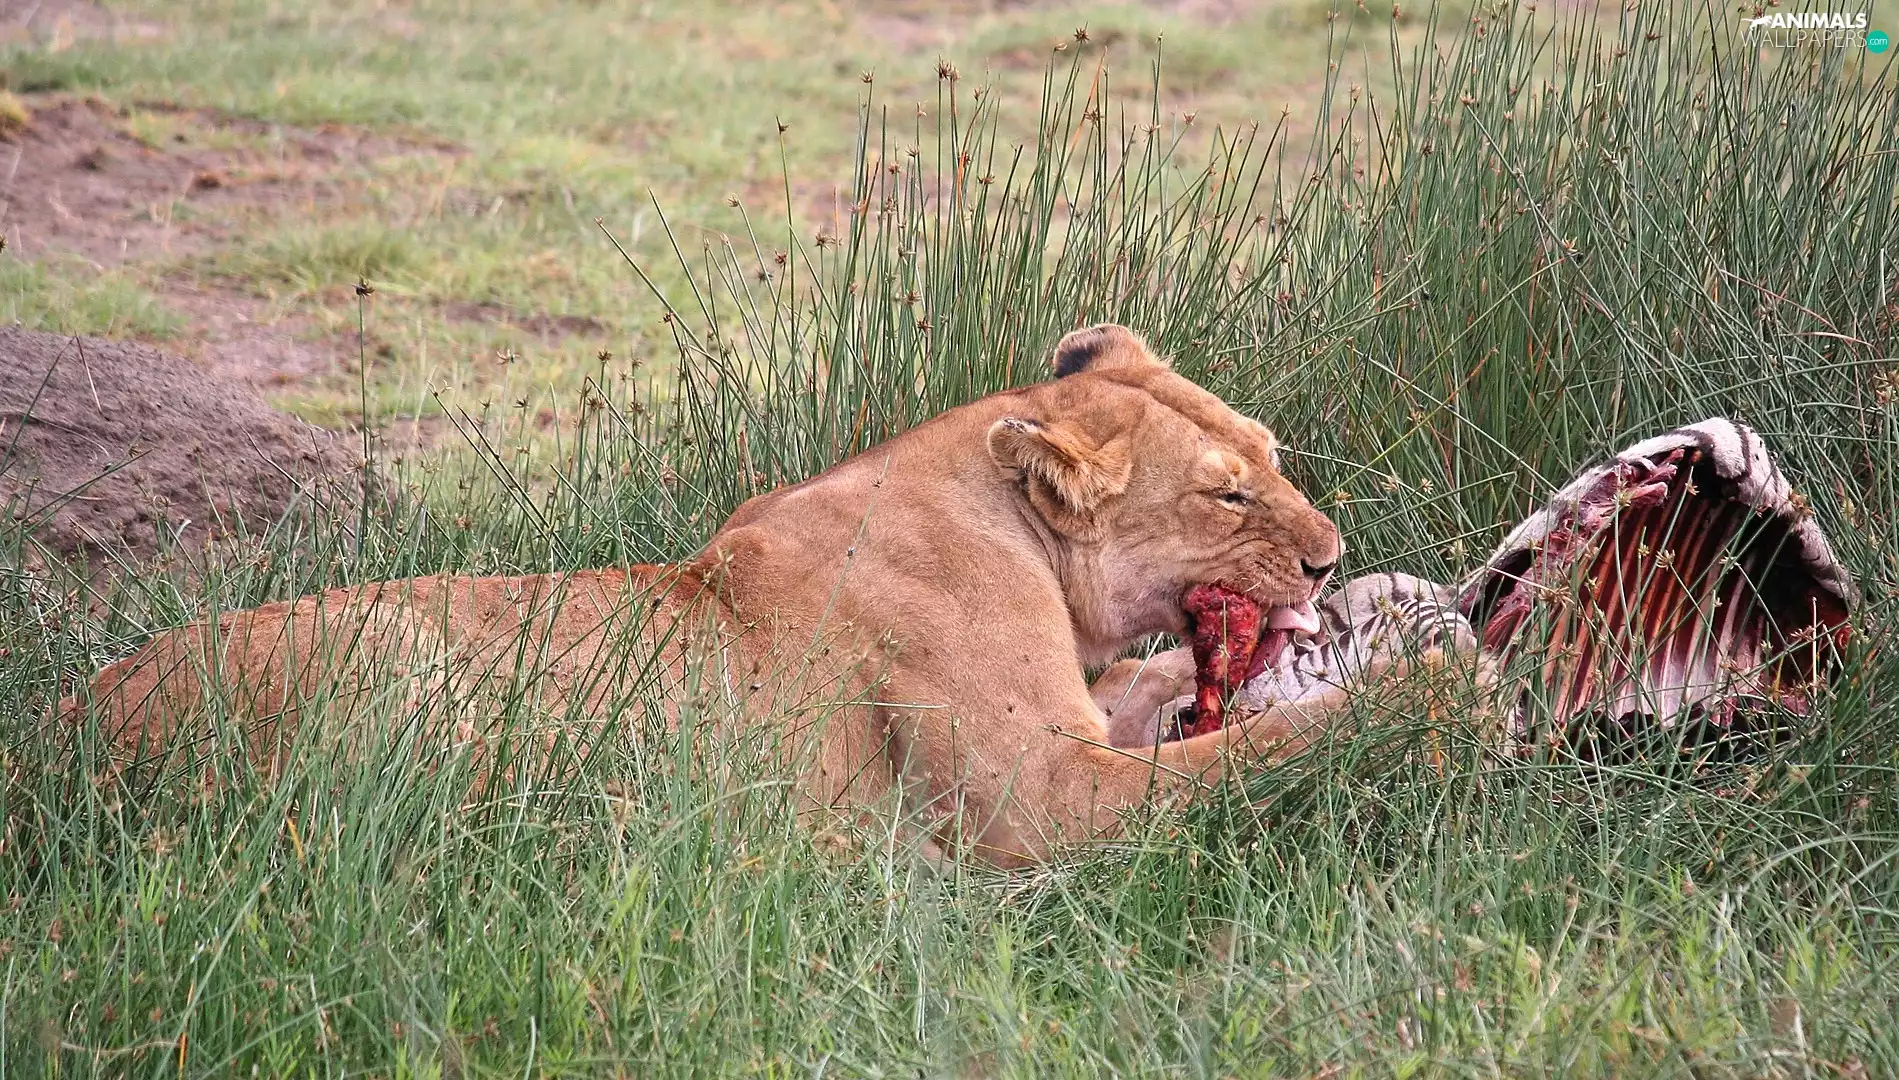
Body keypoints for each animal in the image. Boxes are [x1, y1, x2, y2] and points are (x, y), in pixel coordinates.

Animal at [63, 324, 1349, 866]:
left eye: (1271, 454)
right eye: (1229, 496)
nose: (1332, 558)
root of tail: (59, 740)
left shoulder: (1078, 721)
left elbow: (1156, 695)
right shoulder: (1038, 805)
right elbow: (1246, 758)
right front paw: (1392, 698)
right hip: (399, 676)